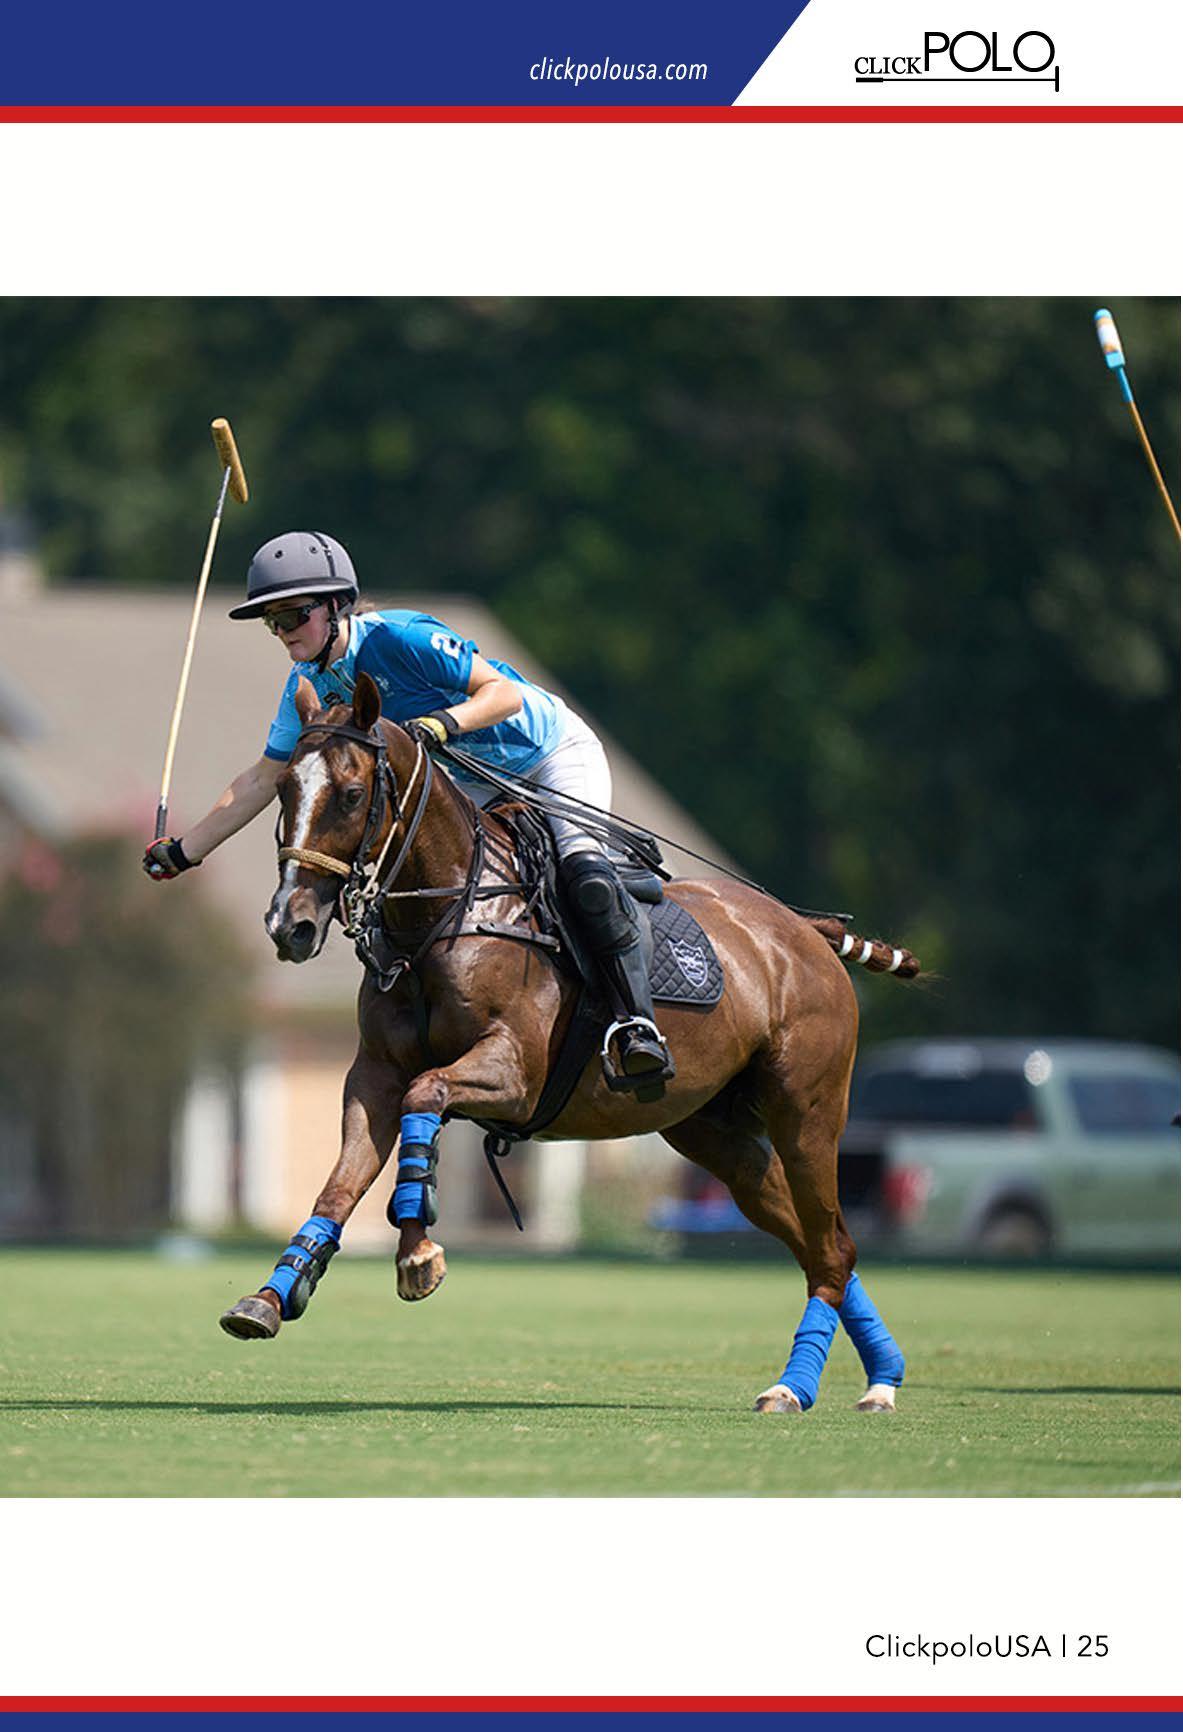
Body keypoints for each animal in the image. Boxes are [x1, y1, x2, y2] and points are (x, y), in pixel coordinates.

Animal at [220, 672, 919, 1415]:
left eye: (352, 793)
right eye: (283, 788)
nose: (289, 926)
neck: (444, 914)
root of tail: (804, 931)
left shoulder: (514, 1075)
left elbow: (426, 1094)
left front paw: (416, 1254)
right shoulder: (372, 1078)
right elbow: (340, 1184)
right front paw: (271, 1296)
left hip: (806, 1109)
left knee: (832, 1247)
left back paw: (795, 1387)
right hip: (716, 1135)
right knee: (820, 1244)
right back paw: (879, 1378)